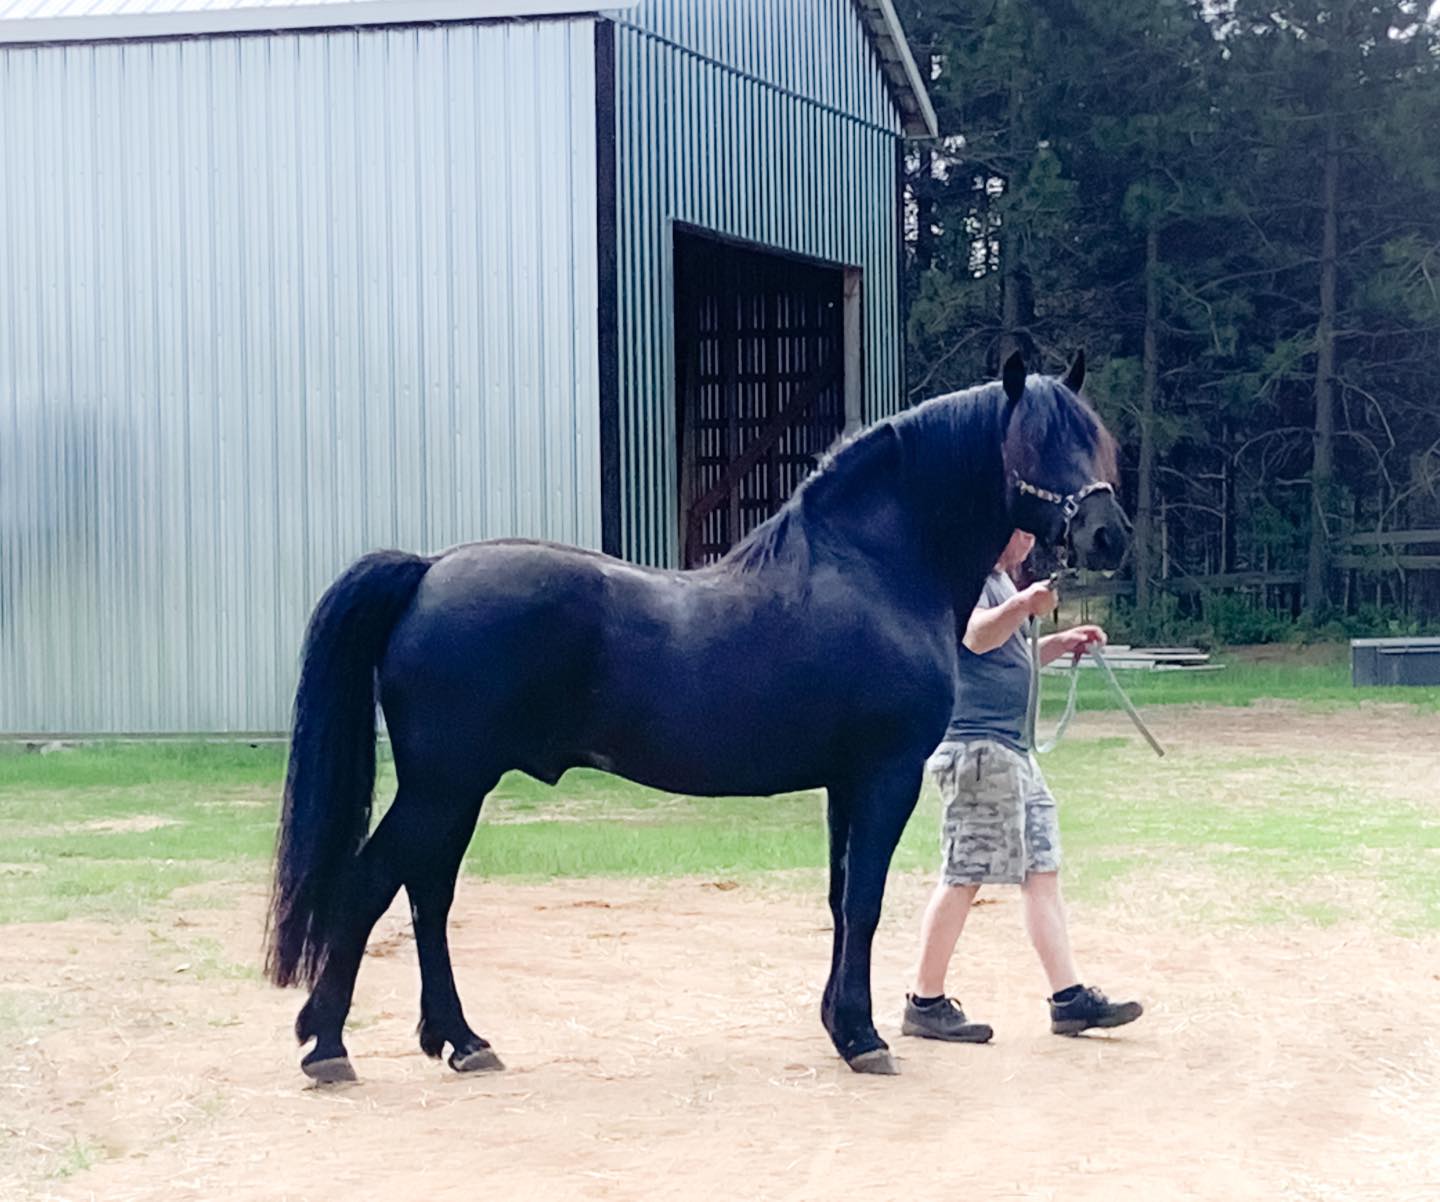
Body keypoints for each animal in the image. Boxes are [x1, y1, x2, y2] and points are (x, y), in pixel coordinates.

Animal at [264, 350, 1127, 1081]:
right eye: (1036, 444)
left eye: (1092, 440)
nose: (1108, 535)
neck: (872, 568)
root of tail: (427, 571)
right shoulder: (885, 776)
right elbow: (867, 900)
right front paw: (862, 1037)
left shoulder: (845, 785)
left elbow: (840, 897)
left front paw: (836, 1025)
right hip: (443, 786)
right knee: (374, 883)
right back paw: (329, 1045)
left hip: (455, 790)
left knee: (428, 895)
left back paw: (461, 1040)